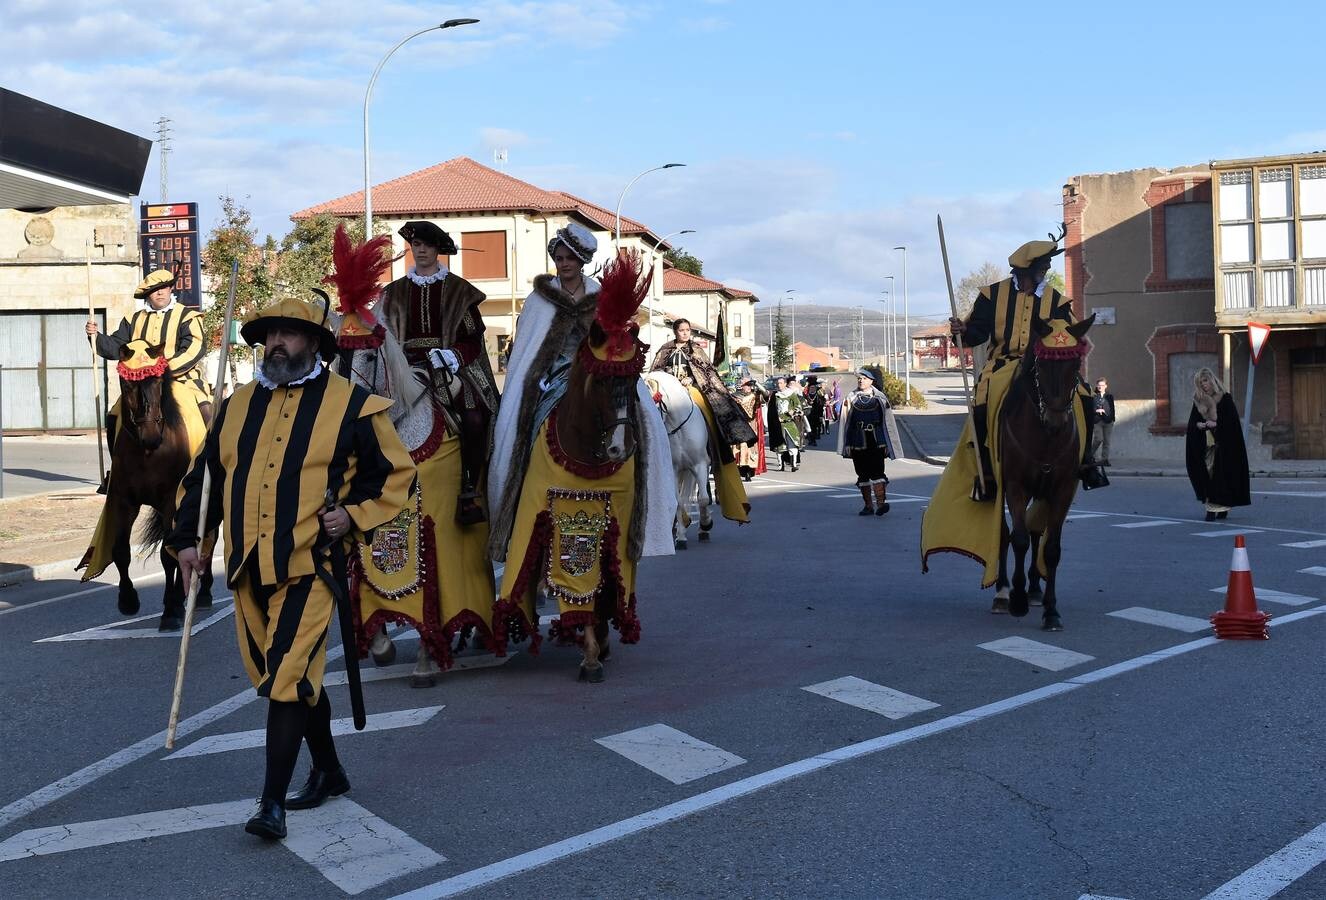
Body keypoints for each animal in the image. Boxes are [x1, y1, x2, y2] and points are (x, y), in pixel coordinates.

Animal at [104, 341, 213, 630]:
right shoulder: (124, 501)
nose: (151, 437)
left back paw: (202, 593)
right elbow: (120, 551)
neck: (148, 454)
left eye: (157, 382)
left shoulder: (170, 502)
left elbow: (167, 554)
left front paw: (169, 611)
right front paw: (128, 600)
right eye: (127, 384)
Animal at [644, 371, 716, 548]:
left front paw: (705, 524)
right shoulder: (674, 469)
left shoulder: (700, 465)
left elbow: (703, 499)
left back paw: (702, 530)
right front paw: (681, 536)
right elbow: (679, 502)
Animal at [997, 316, 1092, 633]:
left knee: (1036, 531)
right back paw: (1003, 591)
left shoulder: (1062, 490)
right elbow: (1018, 539)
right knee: (1006, 533)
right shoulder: (1015, 486)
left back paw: (1035, 590)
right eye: (1040, 366)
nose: (1055, 422)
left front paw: (1051, 610)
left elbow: (1050, 549)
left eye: (1074, 365)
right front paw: (1016, 600)